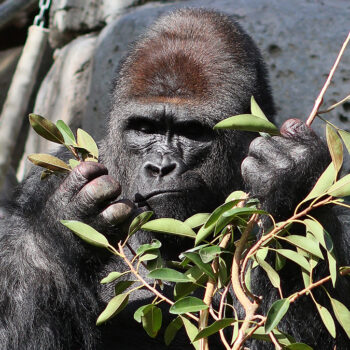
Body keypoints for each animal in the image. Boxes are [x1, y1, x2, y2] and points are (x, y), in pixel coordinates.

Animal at [0, 6, 350, 350]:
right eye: (145, 128)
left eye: (191, 131)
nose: (160, 167)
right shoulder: (42, 181)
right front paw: (65, 223)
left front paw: (290, 181)